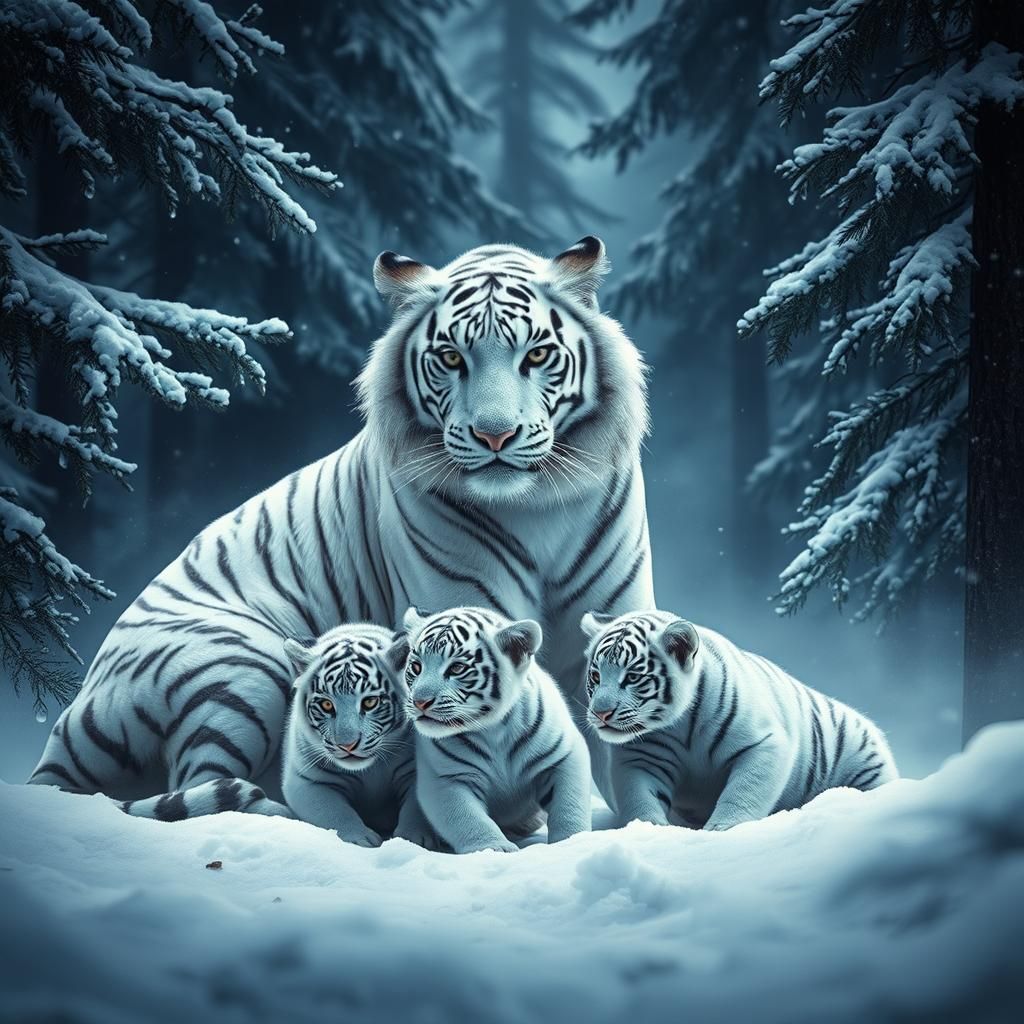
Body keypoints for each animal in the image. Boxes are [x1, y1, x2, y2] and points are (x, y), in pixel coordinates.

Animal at [29, 236, 653, 815]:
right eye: (452, 358)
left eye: (538, 355)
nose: (494, 436)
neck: (540, 507)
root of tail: (74, 711)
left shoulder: (611, 616)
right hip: (243, 667)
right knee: (201, 783)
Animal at [280, 623, 436, 848]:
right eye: (326, 705)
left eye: (370, 702)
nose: (347, 745)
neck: (368, 771)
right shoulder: (307, 782)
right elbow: (334, 812)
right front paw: (361, 839)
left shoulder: (413, 772)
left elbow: (416, 807)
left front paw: (413, 839)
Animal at [399, 606, 592, 853]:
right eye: (416, 667)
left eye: (457, 668)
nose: (420, 702)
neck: (493, 729)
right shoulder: (447, 778)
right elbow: (468, 818)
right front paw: (494, 849)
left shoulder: (564, 756)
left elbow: (569, 804)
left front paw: (572, 842)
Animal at [581, 610, 899, 831]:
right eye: (595, 676)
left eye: (633, 677)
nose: (600, 713)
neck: (680, 725)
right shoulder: (641, 759)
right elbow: (640, 797)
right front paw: (651, 829)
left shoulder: (764, 744)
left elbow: (743, 791)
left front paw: (723, 828)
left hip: (867, 767)